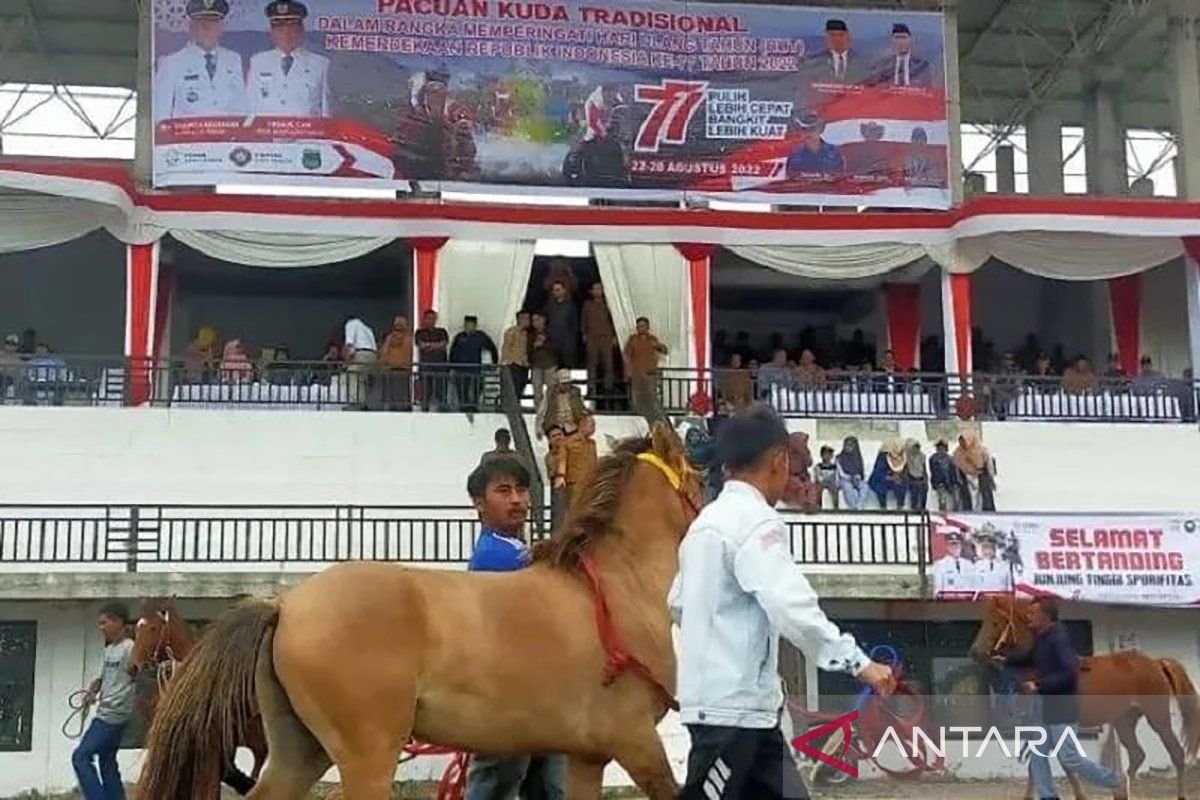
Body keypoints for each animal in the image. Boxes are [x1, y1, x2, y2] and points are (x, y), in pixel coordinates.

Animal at [969, 594, 1195, 800]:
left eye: (995, 622)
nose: (975, 652)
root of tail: (1156, 663)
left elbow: (1062, 765)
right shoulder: (1042, 727)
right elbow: (1044, 765)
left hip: (1158, 718)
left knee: (1176, 753)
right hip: (1124, 721)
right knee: (1137, 754)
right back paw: (1120, 791)